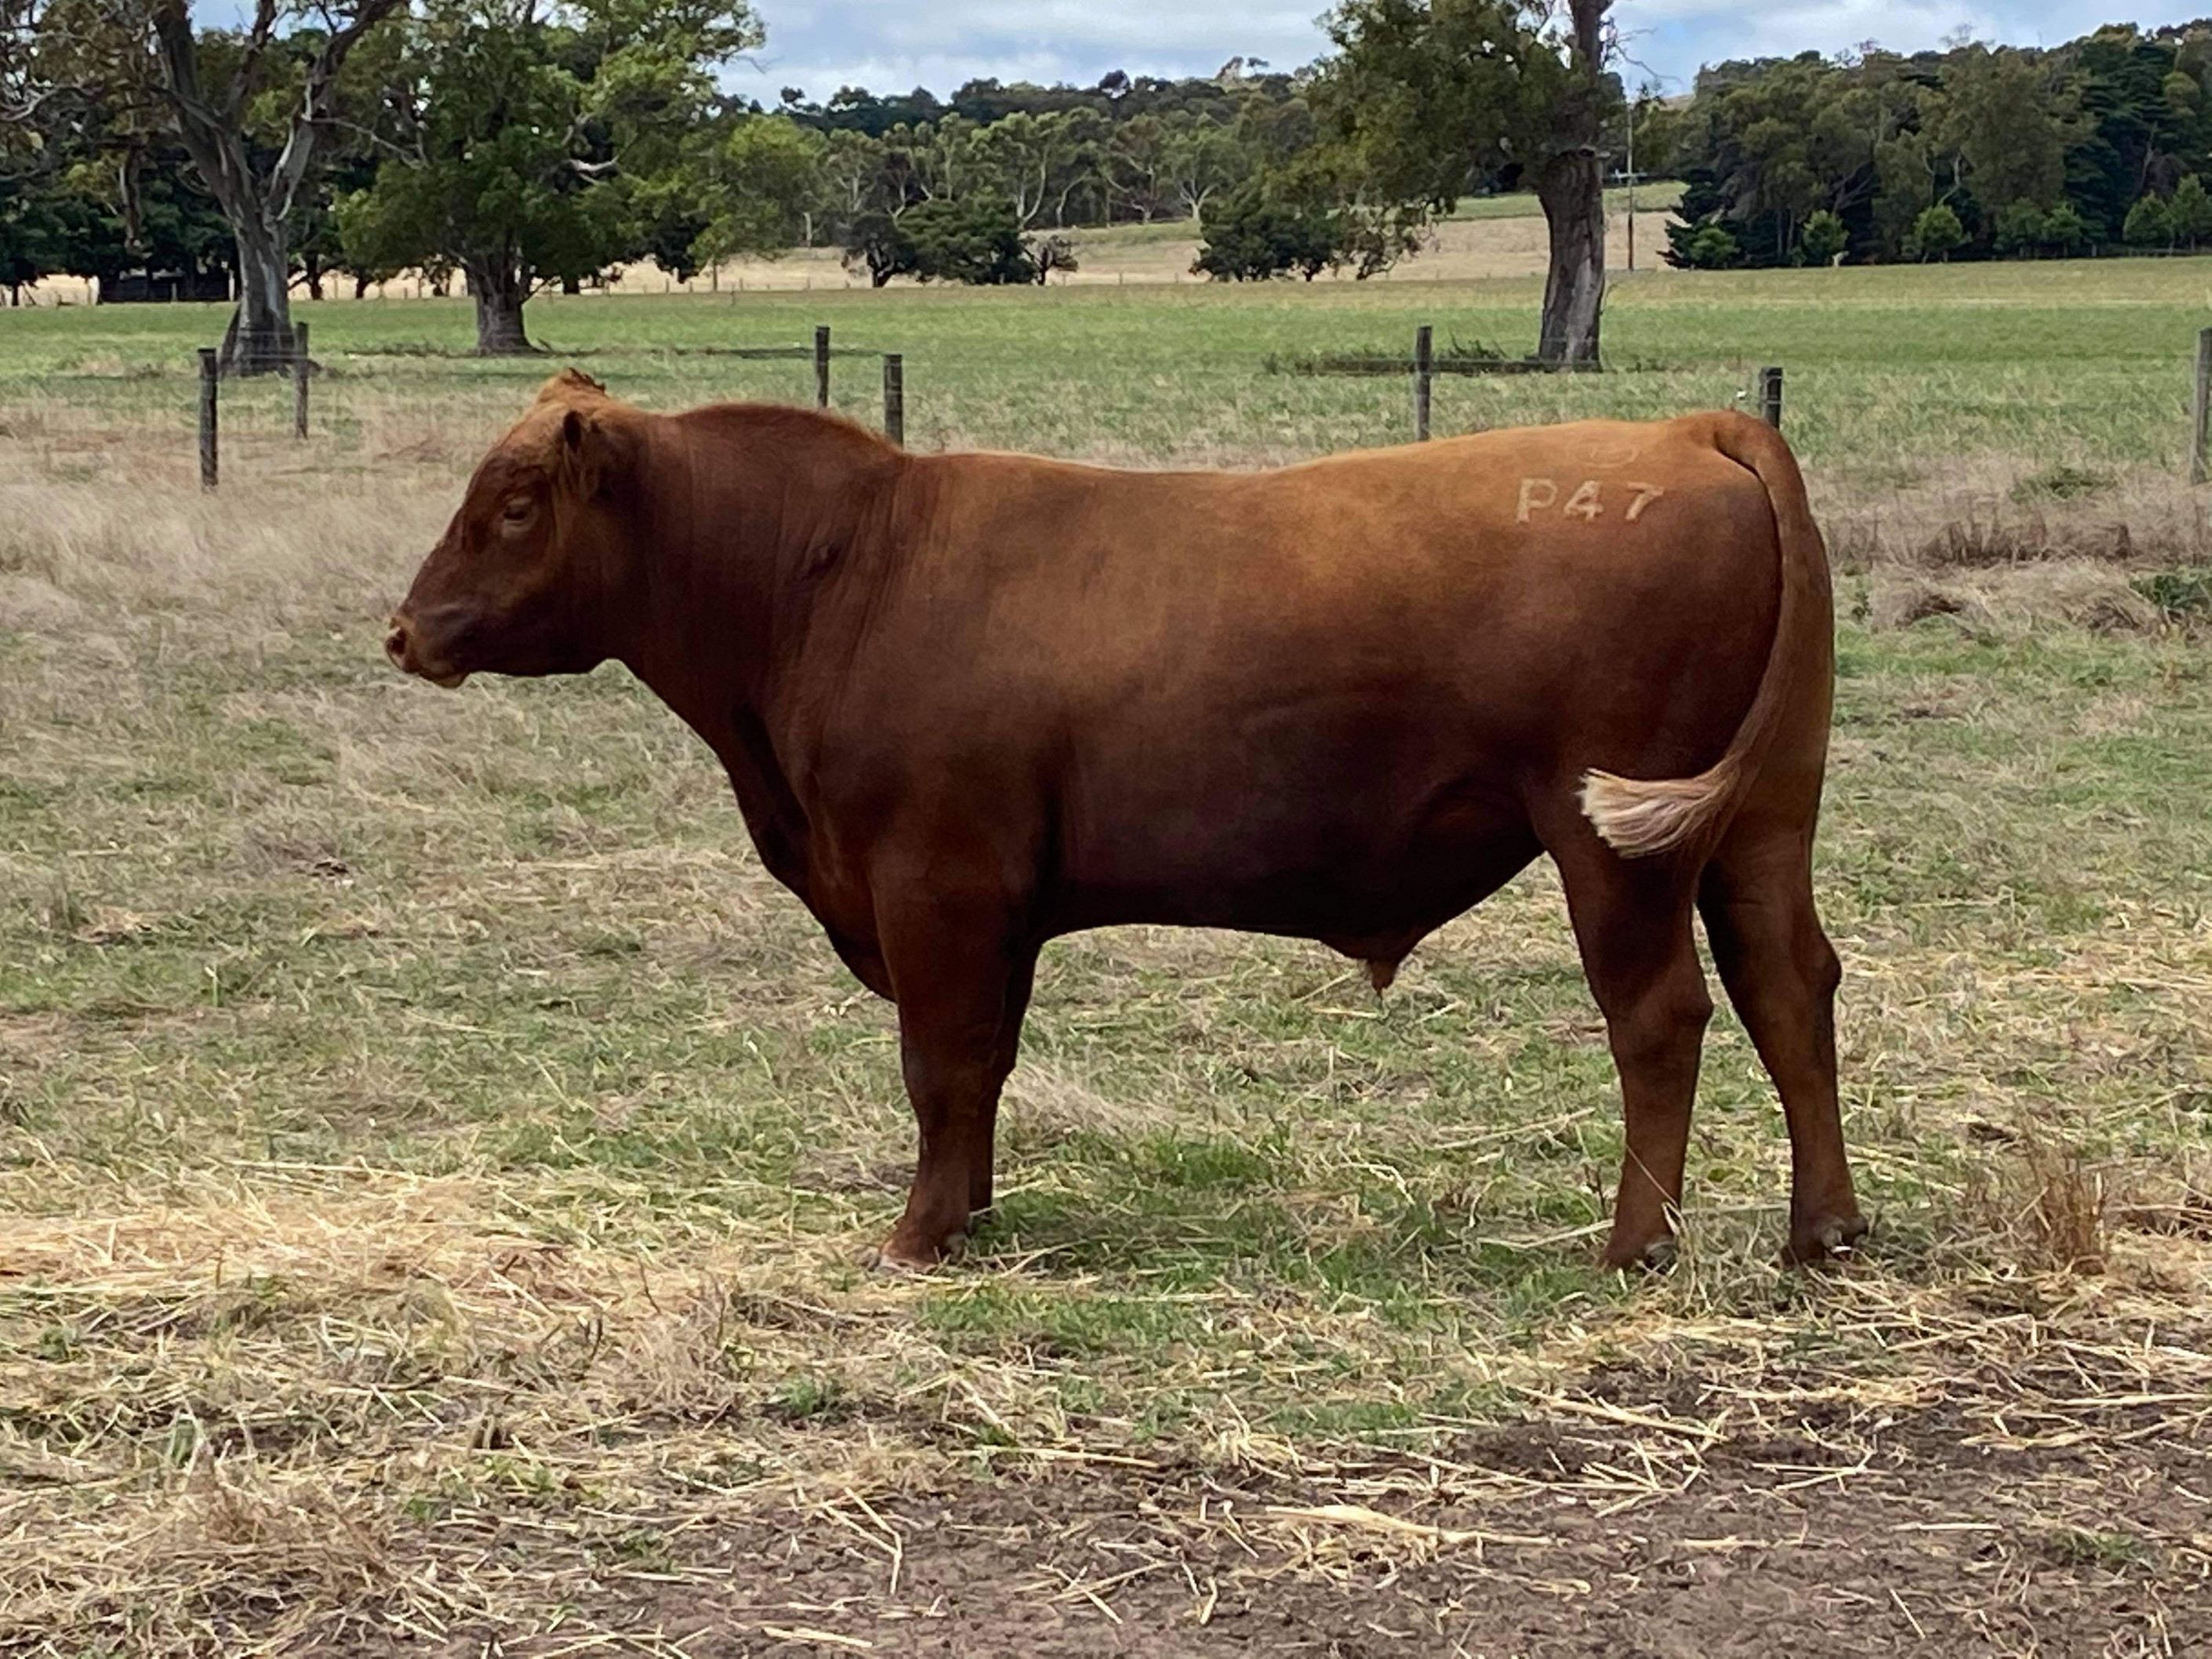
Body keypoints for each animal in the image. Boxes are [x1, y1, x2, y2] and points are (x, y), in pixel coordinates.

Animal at [386, 370, 1866, 1274]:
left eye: (511, 504)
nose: (405, 632)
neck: (842, 572)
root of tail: (1683, 430)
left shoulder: (934, 880)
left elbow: (939, 1061)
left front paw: (915, 1236)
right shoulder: (997, 906)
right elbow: (982, 1064)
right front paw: (970, 1211)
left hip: (1613, 844)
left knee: (1660, 1015)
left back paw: (1635, 1245)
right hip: (1761, 820)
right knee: (1788, 986)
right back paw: (1823, 1231)